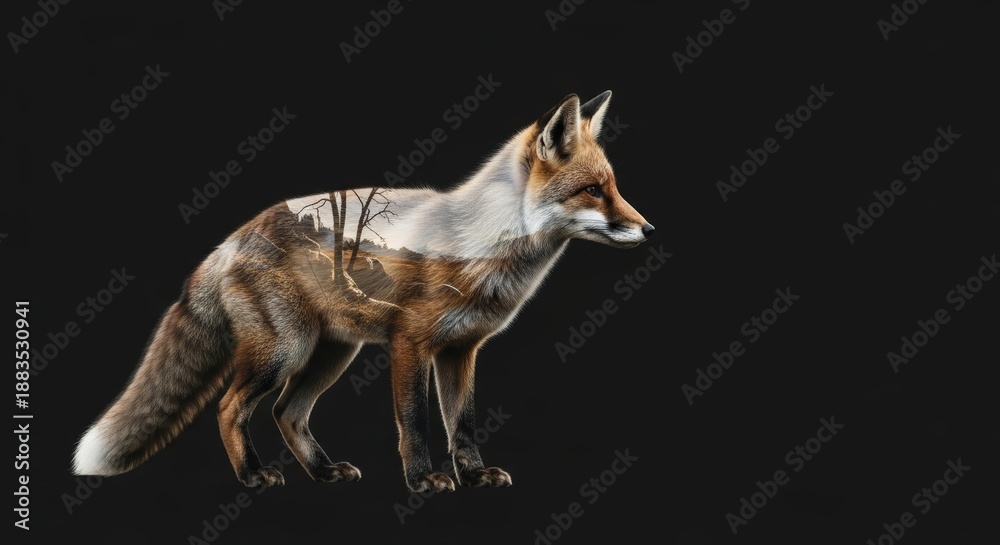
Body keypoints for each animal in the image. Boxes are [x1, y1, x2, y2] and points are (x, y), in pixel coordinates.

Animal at [72, 91, 655, 493]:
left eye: (614, 187)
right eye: (592, 191)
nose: (648, 229)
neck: (482, 251)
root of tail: (234, 237)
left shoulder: (461, 351)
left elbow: (462, 424)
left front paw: (472, 475)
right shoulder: (410, 345)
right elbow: (415, 424)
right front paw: (423, 481)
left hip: (332, 354)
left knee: (287, 413)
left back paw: (323, 471)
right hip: (286, 352)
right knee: (230, 407)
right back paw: (253, 476)